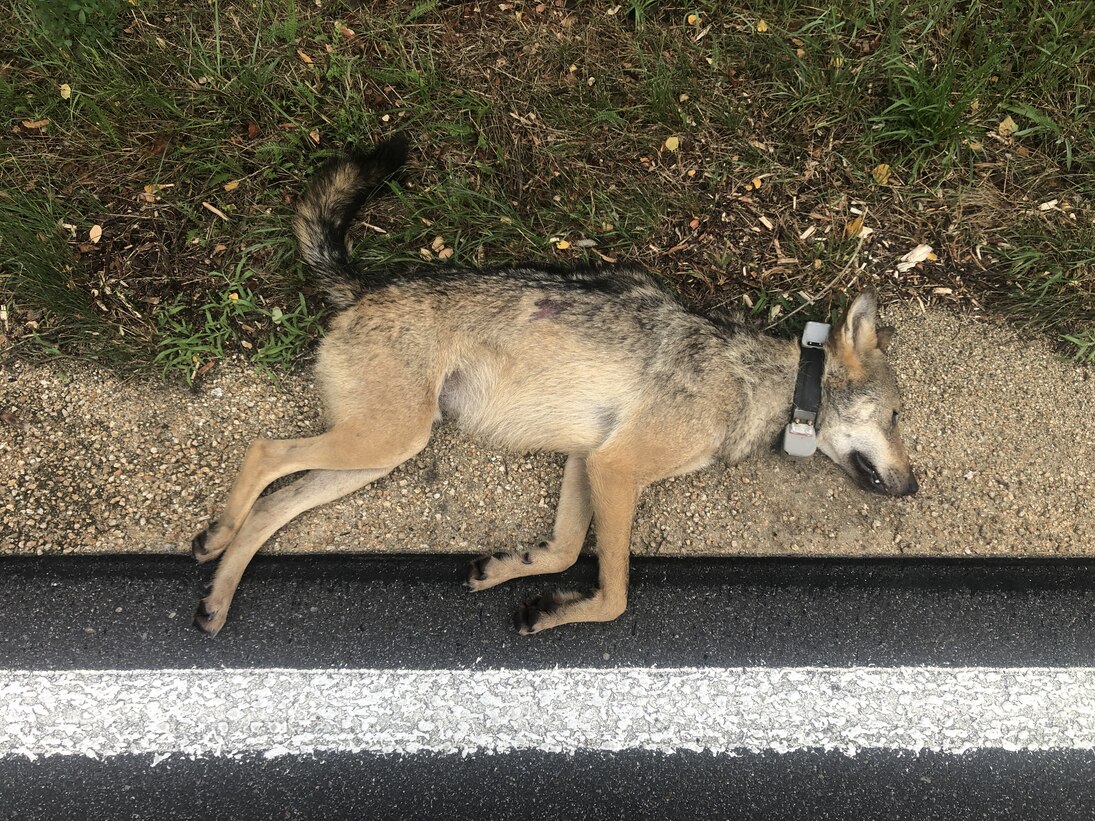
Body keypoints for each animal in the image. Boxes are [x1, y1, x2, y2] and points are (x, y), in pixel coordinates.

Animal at [192, 136, 919, 634]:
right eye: (894, 417)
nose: (914, 487)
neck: (760, 380)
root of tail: (365, 287)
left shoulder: (586, 457)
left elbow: (565, 547)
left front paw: (508, 571)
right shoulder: (615, 465)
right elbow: (615, 595)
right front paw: (549, 611)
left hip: (378, 453)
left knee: (275, 506)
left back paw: (217, 597)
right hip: (384, 440)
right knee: (264, 452)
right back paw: (213, 537)